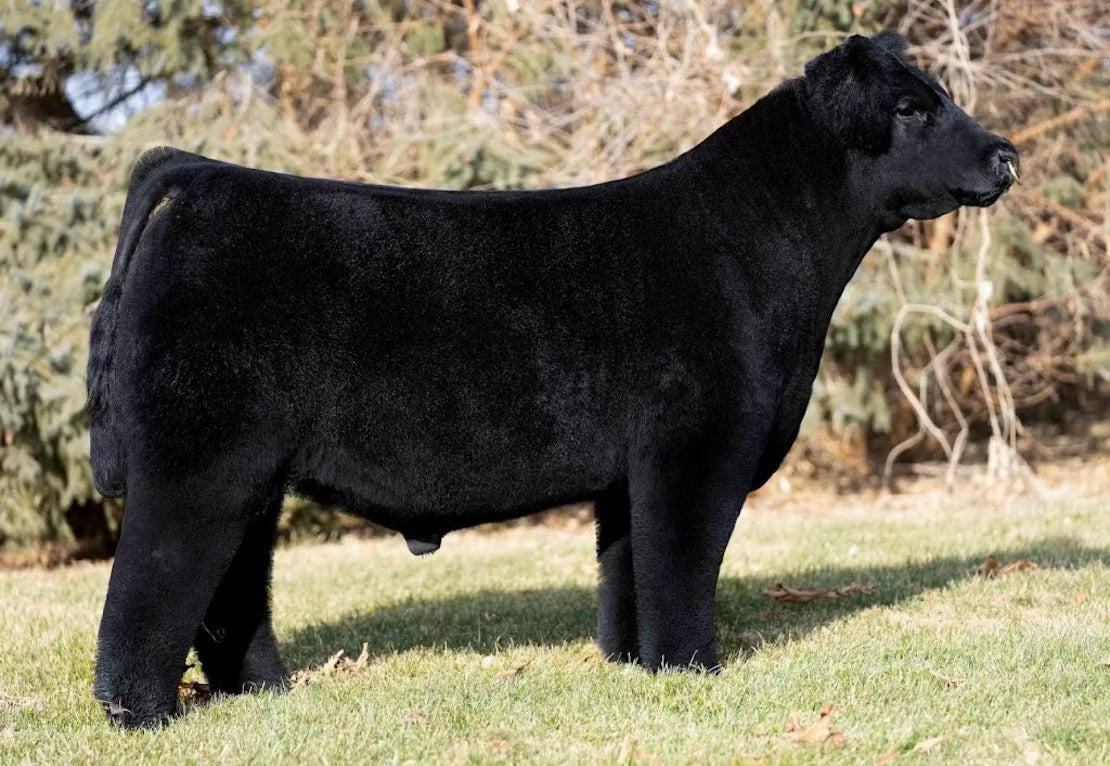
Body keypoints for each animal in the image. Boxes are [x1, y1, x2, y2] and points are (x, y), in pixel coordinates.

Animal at [88, 31, 1018, 727]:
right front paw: (695, 671)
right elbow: (682, 565)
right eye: (911, 108)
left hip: (251, 473)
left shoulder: (634, 471)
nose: (1006, 155)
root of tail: (205, 176)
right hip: (198, 459)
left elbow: (629, 569)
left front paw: (637, 665)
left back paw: (266, 694)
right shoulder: (697, 448)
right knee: (152, 584)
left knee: (233, 588)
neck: (763, 246)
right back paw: (142, 716)